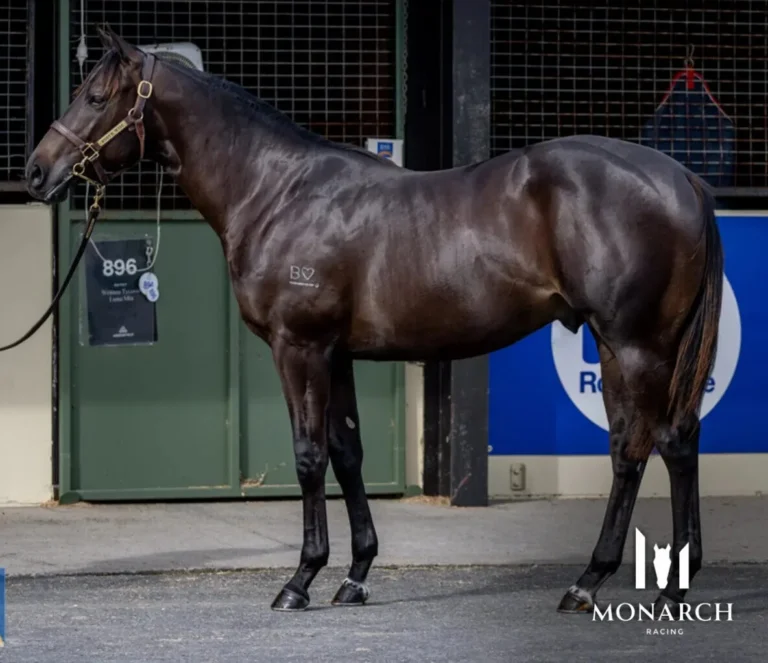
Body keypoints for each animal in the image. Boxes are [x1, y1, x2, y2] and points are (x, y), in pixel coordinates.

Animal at [26, 26, 723, 615]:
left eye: (94, 96)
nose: (36, 171)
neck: (277, 193)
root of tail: (682, 177)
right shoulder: (336, 355)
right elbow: (347, 454)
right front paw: (355, 576)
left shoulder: (299, 348)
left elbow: (309, 456)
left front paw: (300, 580)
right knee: (677, 440)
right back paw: (668, 582)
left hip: (632, 346)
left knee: (641, 448)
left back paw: (601, 583)